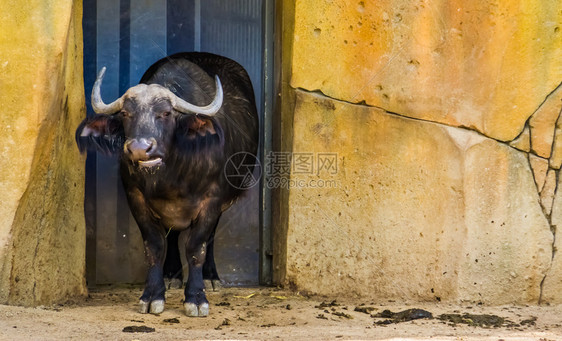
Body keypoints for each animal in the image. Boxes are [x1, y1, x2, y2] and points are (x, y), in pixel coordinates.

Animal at [76, 51, 258, 314]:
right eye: (126, 114)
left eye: (166, 114)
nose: (139, 148)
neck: (171, 176)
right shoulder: (135, 198)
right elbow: (154, 246)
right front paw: (152, 295)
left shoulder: (212, 201)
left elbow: (196, 247)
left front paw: (196, 297)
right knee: (172, 235)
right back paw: (172, 274)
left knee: (210, 236)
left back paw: (211, 277)